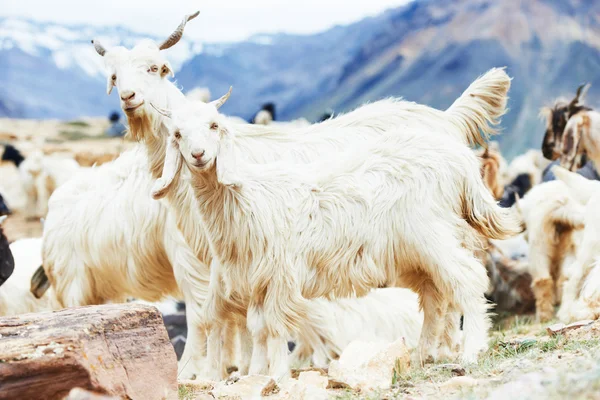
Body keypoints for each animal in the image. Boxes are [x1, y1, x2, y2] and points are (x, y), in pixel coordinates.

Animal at [151, 94, 524, 378]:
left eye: (214, 126)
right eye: (178, 134)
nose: (199, 156)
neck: (246, 197)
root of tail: (459, 162)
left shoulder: (281, 274)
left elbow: (273, 327)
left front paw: (276, 375)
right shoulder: (255, 280)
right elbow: (257, 328)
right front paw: (254, 375)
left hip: (432, 235)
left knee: (468, 278)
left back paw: (471, 350)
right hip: (414, 252)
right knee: (434, 295)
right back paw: (422, 355)